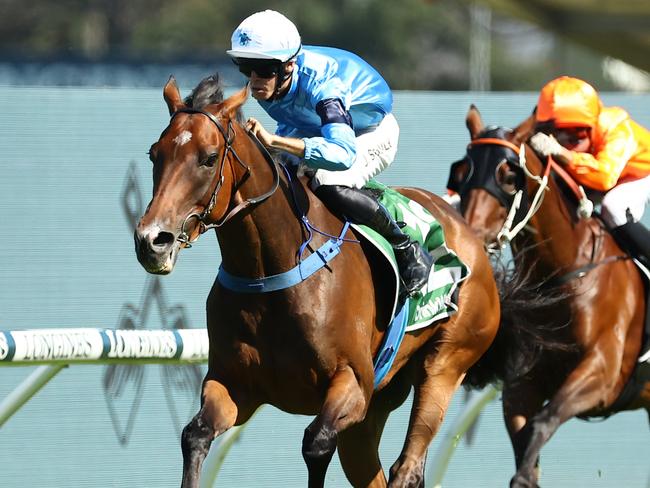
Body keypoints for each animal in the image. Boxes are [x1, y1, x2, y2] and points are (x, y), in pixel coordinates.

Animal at [133, 73, 502, 488]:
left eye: (209, 158)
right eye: (154, 155)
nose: (152, 241)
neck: (267, 273)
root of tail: (468, 231)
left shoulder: (353, 384)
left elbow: (316, 442)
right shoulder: (234, 385)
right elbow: (195, 434)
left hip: (445, 364)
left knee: (406, 466)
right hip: (378, 404)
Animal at [448, 107, 648, 488]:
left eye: (509, 175)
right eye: (461, 172)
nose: (469, 238)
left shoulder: (602, 373)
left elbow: (541, 424)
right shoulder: (523, 382)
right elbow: (525, 443)